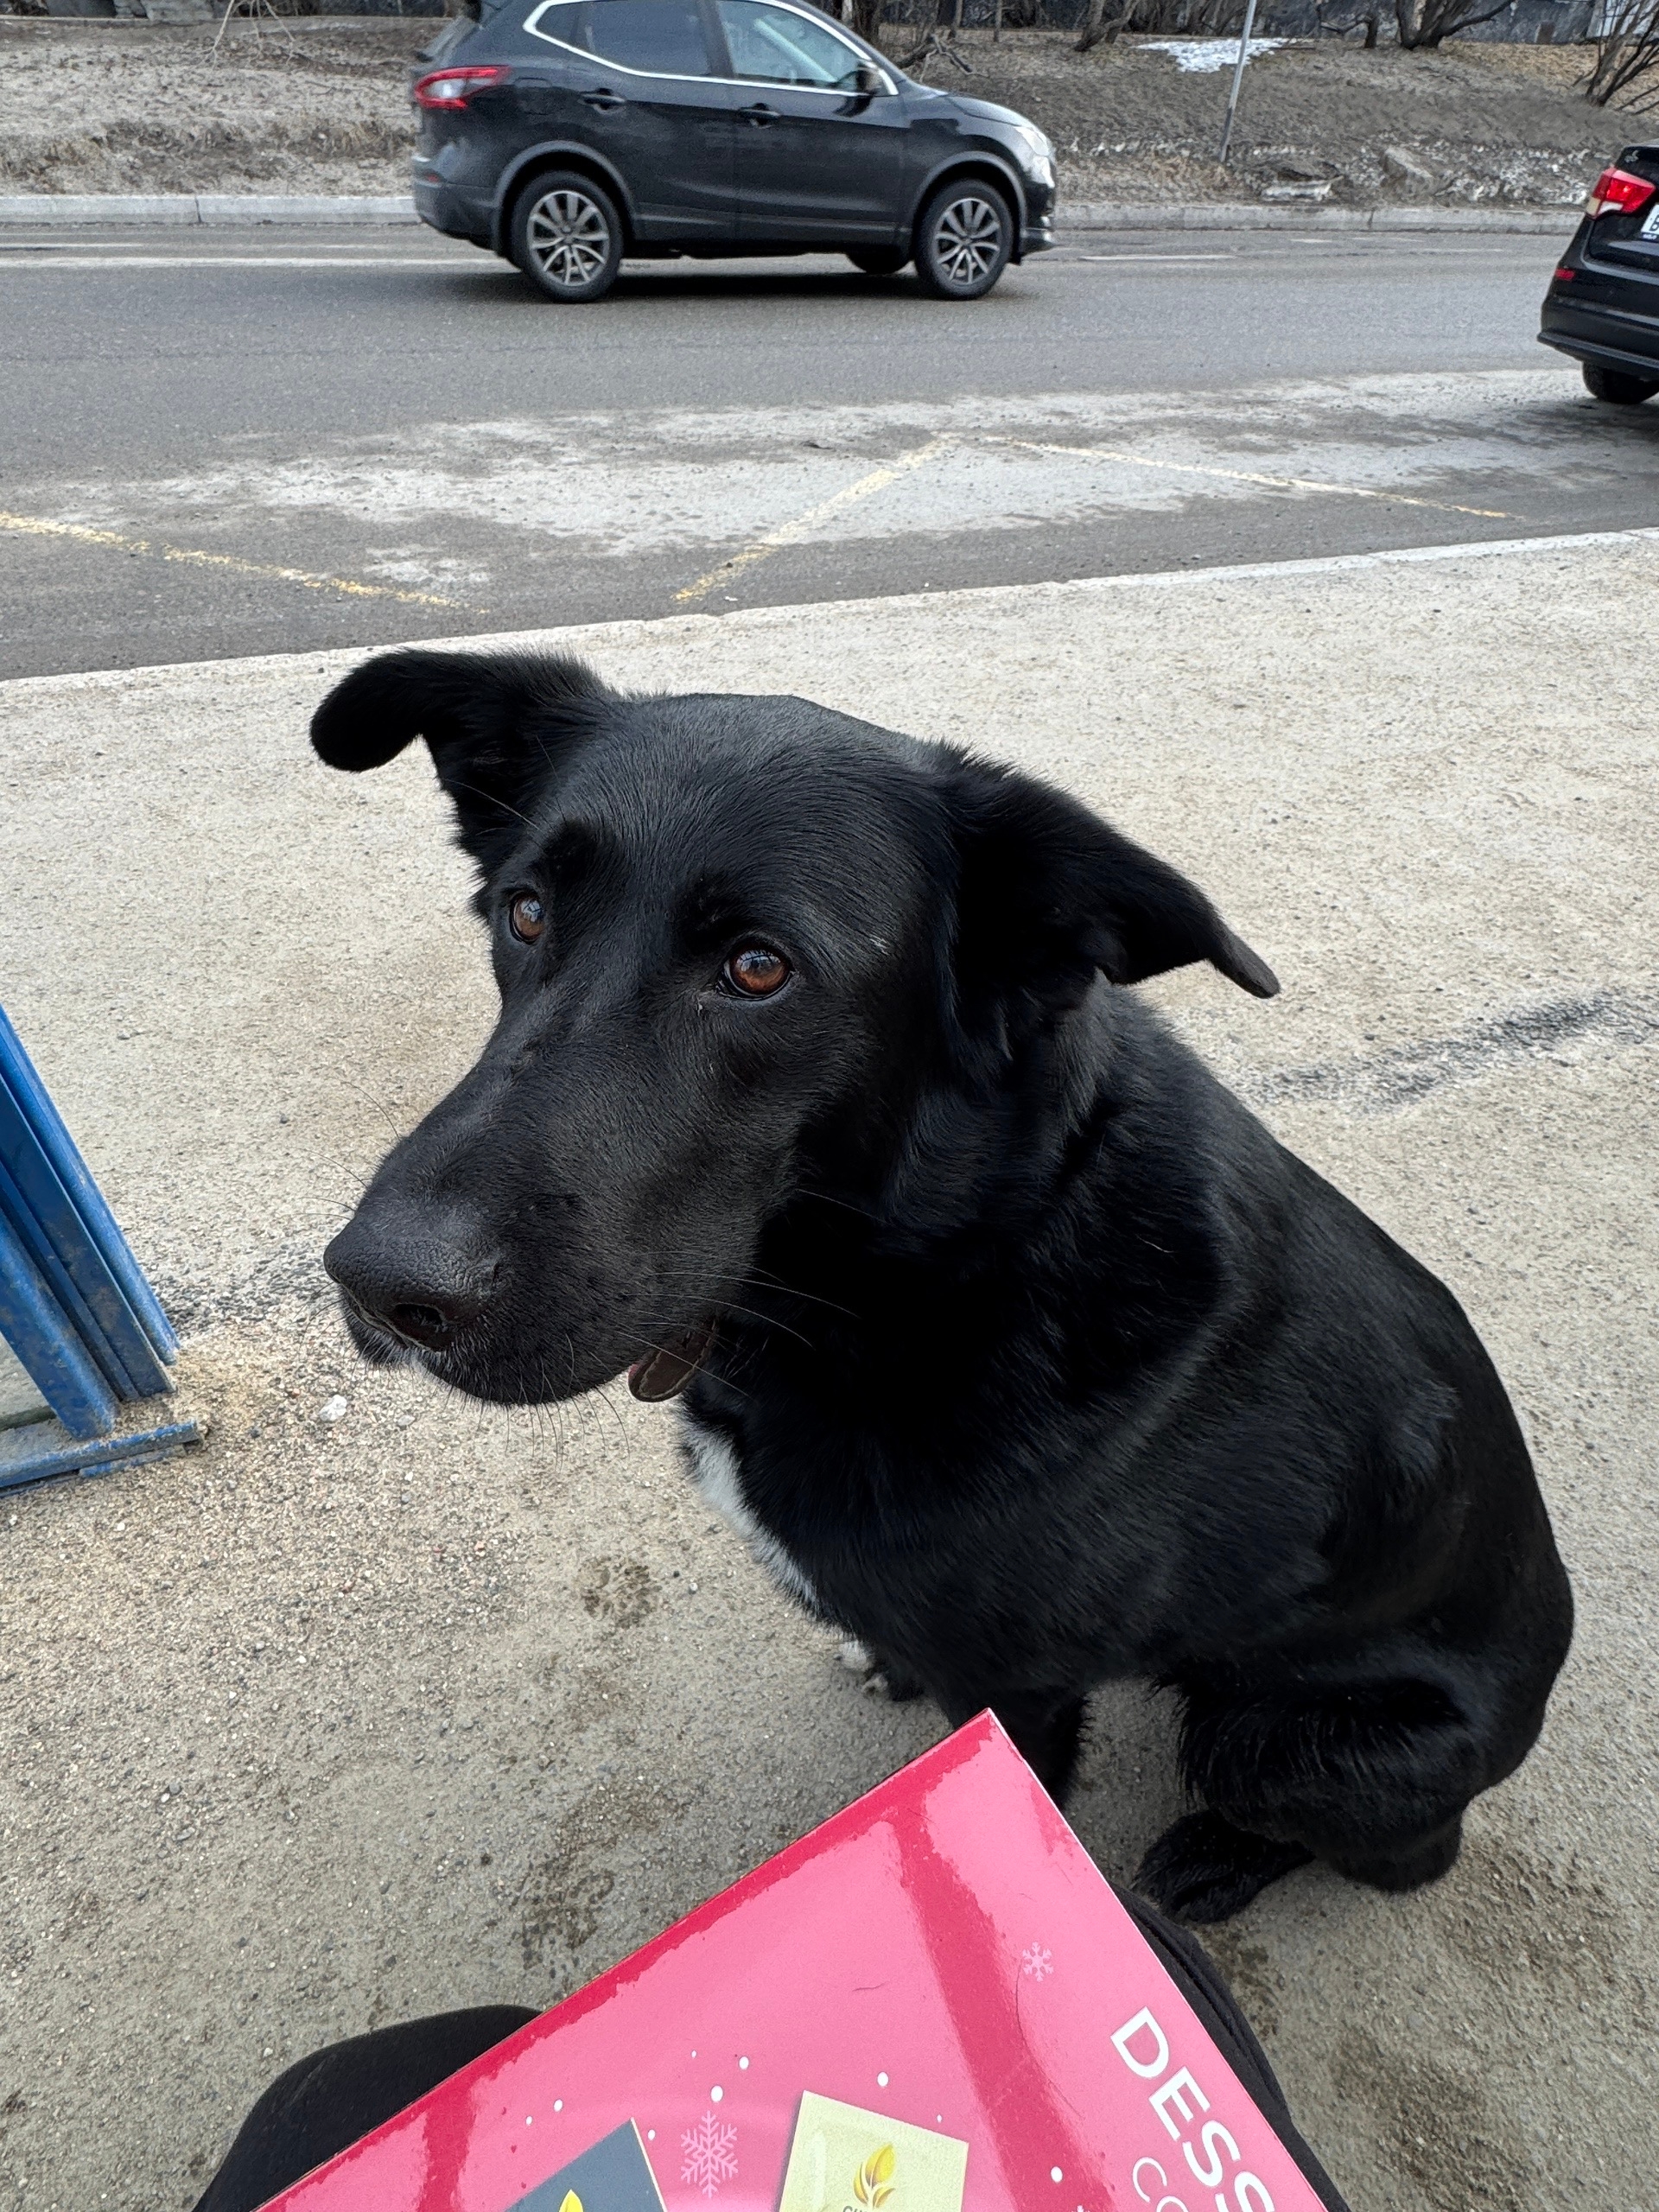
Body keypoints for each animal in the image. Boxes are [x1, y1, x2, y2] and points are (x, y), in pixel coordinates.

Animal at [311, 648, 1572, 1925]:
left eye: (758, 967)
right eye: (525, 912)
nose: (378, 1283)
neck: (952, 1264)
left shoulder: (1017, 1703)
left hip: (1275, 1741)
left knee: (1399, 1850)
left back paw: (1217, 1859)